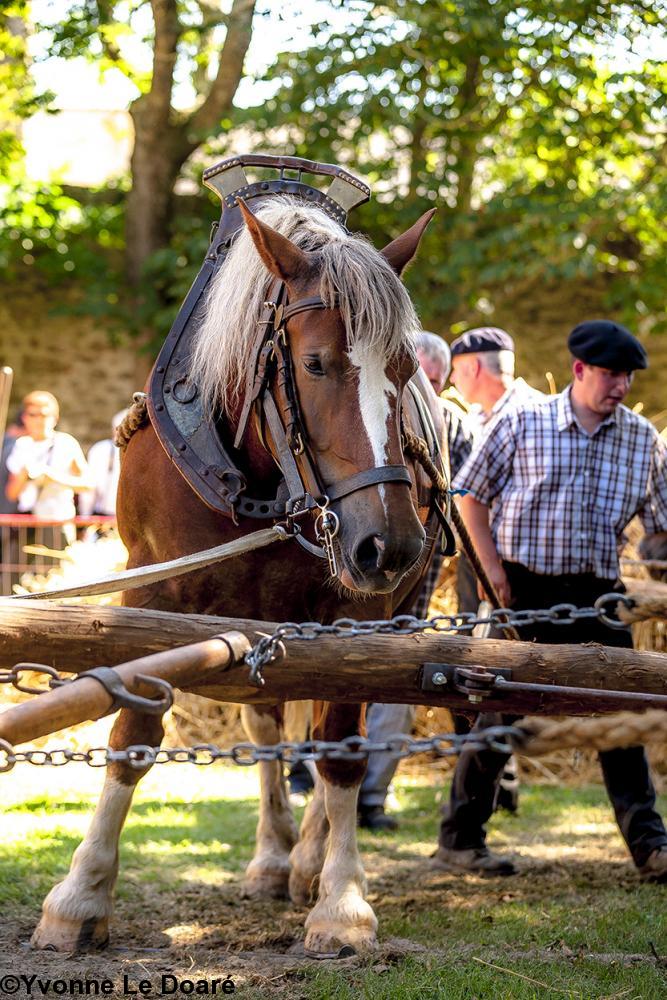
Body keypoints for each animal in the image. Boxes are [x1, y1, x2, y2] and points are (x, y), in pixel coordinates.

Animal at [34, 193, 446, 952]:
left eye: (406, 371)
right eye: (315, 364)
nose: (392, 546)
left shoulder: (359, 615)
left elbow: (341, 751)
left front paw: (342, 901)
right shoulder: (151, 592)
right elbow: (133, 736)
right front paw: (81, 895)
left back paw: (309, 859)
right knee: (267, 726)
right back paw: (276, 858)